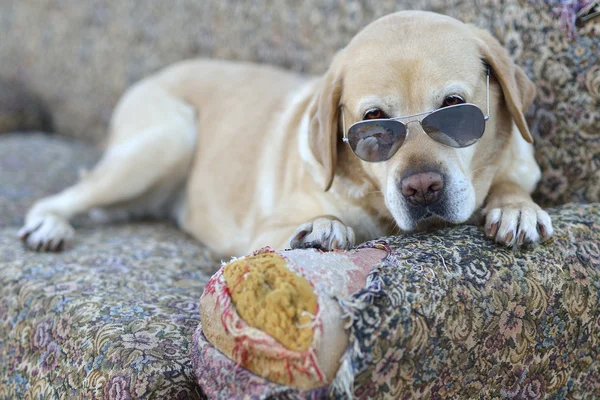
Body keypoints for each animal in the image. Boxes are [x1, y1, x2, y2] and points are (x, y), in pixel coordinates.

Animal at [18, 11, 552, 260]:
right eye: (373, 121)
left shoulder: (522, 163)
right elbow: (318, 221)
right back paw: (48, 225)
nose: (421, 188)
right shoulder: (261, 232)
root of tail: (155, 74)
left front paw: (515, 208)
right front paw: (321, 228)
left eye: (455, 108)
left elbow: (511, 181)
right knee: (68, 194)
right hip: (168, 139)